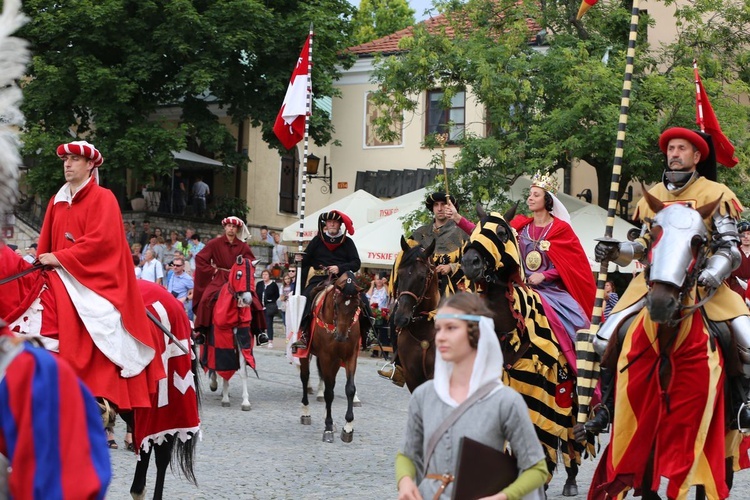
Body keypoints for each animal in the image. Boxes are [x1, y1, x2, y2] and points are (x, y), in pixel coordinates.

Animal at [302, 270, 368, 442]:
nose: (341, 336)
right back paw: (305, 412)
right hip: (306, 354)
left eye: (356, 306)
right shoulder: (326, 357)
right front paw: (328, 428)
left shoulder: (350, 357)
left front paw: (348, 427)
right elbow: (329, 393)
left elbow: (349, 389)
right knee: (305, 378)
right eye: (337, 304)